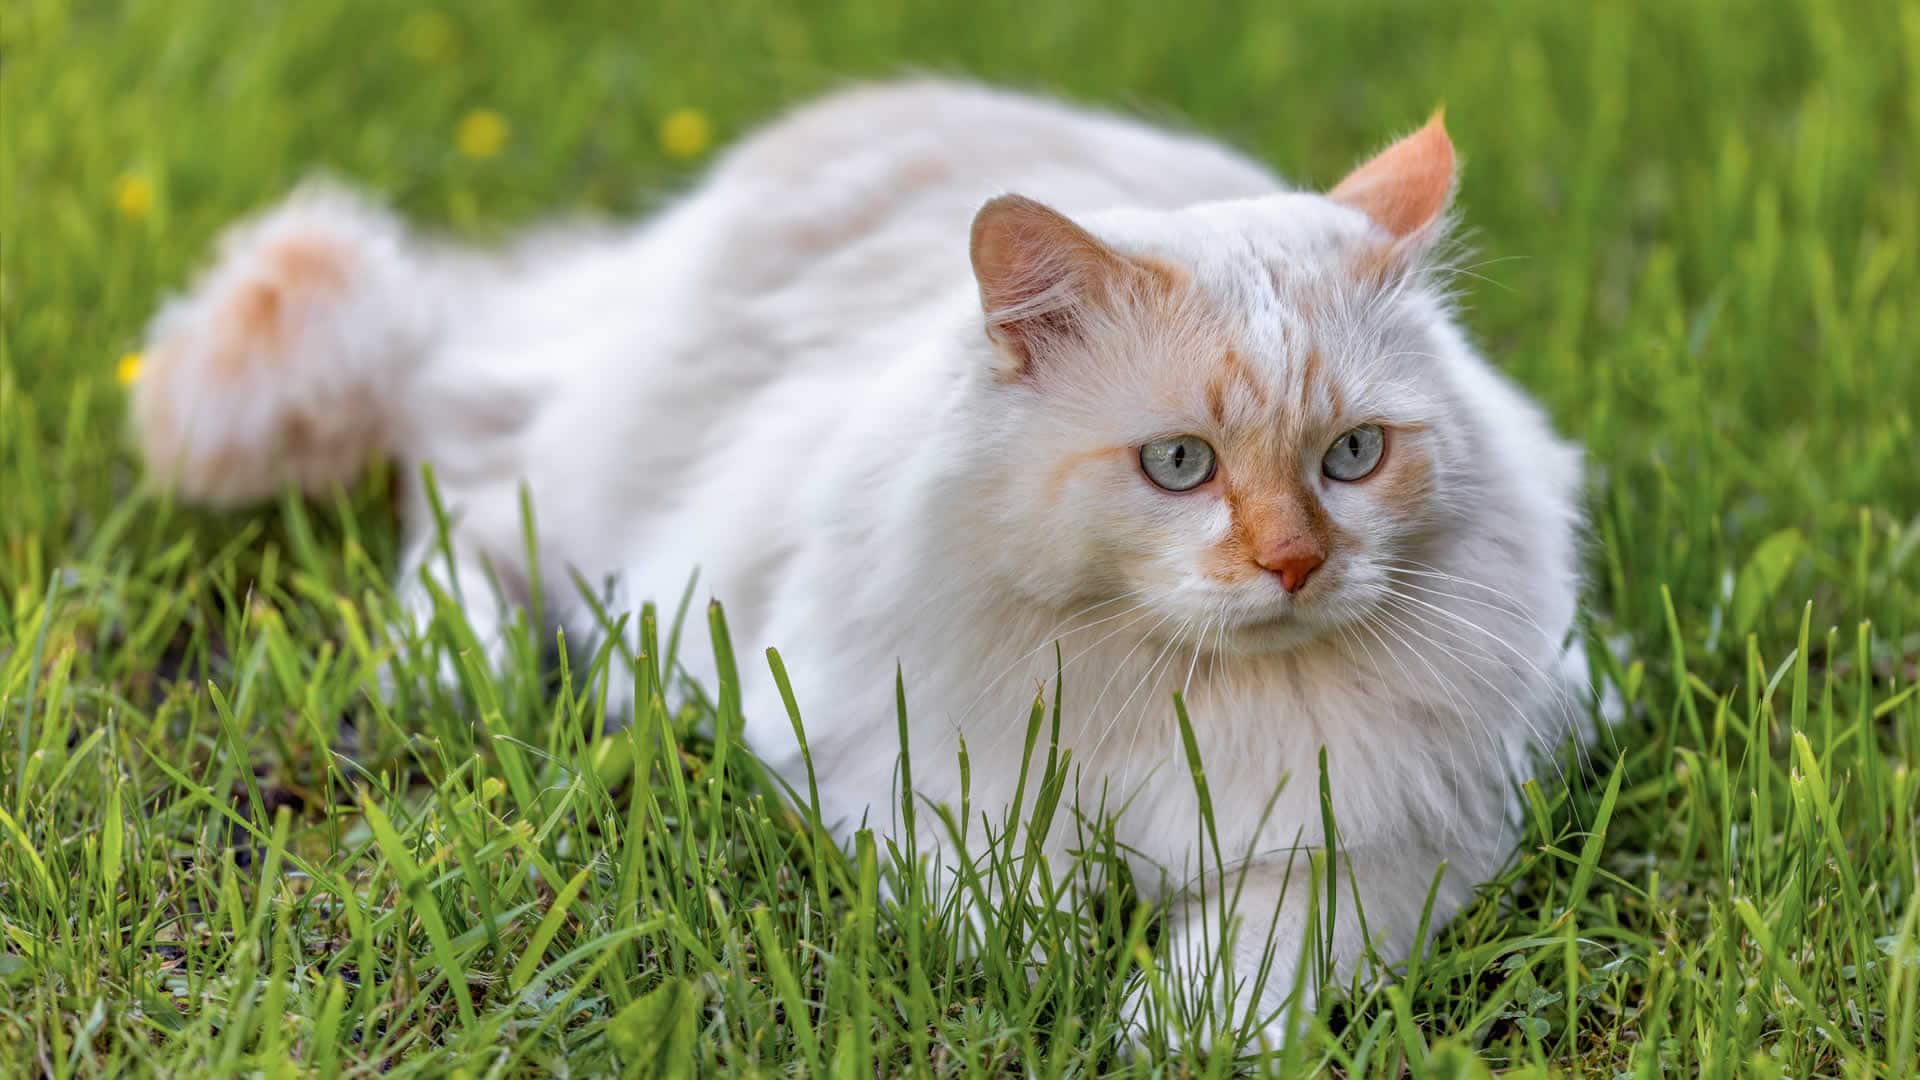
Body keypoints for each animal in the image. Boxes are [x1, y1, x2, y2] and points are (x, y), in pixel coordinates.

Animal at [131, 79, 1589, 1045]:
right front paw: (1050, 973)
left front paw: (1157, 1028)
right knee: (456, 504)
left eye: (1353, 456)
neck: (1188, 696)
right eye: (1180, 465)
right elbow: (1001, 894)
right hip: (590, 497)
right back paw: (453, 669)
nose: (1293, 566)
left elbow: (1253, 957)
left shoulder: (1393, 843)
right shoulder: (894, 762)